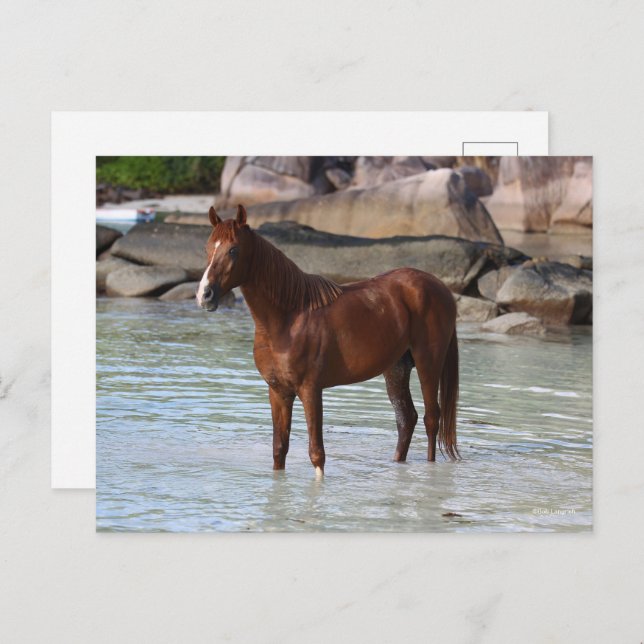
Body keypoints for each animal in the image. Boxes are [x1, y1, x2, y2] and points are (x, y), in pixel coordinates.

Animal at [196, 205, 459, 476]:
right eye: (207, 248)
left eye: (233, 250)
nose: (205, 295)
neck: (287, 319)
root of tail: (439, 286)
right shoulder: (278, 392)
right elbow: (279, 449)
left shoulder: (311, 390)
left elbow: (316, 454)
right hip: (397, 368)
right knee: (406, 419)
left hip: (429, 363)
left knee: (431, 419)